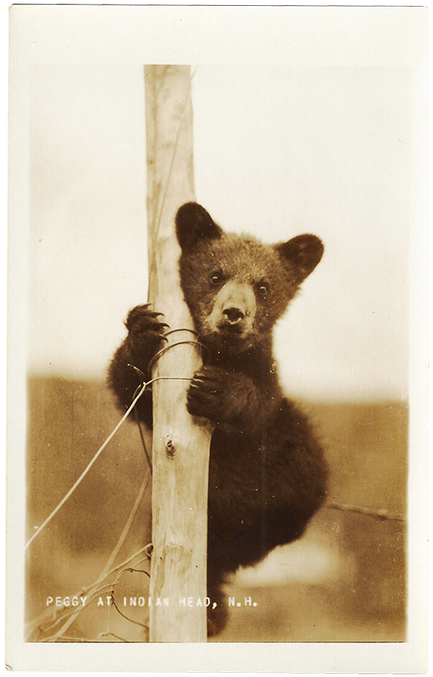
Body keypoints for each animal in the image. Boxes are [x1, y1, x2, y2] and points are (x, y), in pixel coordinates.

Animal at [108, 202, 328, 637]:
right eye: (215, 275)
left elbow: (260, 403)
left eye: (263, 286)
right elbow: (128, 391)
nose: (233, 314)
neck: (221, 353)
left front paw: (216, 390)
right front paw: (141, 330)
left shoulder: (265, 374)